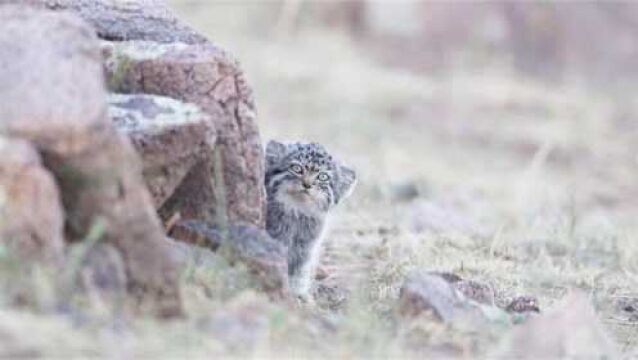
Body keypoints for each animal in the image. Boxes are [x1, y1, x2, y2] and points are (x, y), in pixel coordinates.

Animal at [264, 141, 358, 300]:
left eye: (323, 177)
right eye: (297, 168)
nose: (307, 184)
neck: (297, 213)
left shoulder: (306, 247)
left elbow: (299, 270)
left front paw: (299, 292)